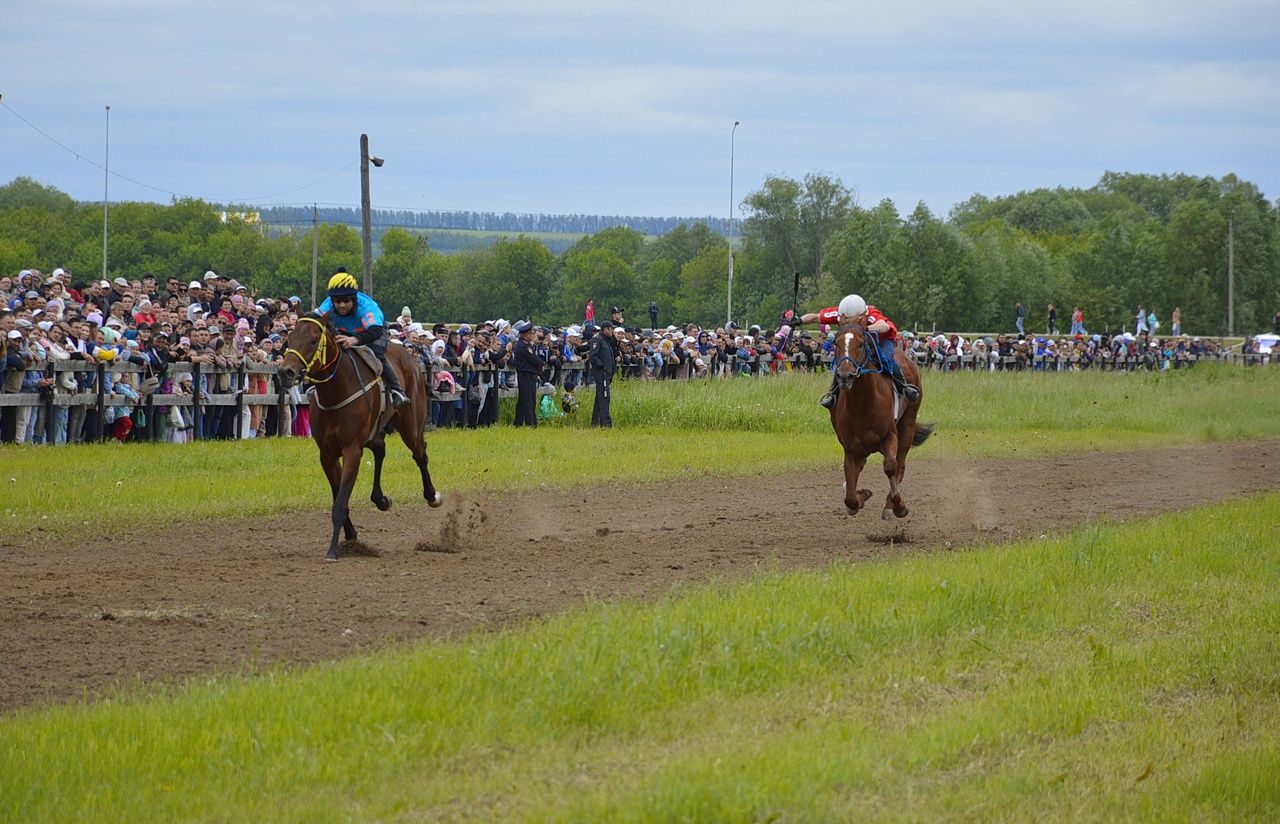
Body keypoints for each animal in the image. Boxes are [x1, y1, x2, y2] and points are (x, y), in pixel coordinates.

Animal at [277, 316, 442, 560]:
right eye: (290, 337)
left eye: (314, 339)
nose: (286, 372)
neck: (336, 390)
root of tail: (409, 356)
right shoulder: (327, 454)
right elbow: (338, 495)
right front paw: (350, 534)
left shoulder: (352, 449)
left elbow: (340, 503)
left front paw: (333, 550)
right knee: (381, 448)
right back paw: (380, 499)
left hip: (411, 425)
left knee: (420, 454)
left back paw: (432, 496)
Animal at [824, 319, 936, 519]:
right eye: (836, 344)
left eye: (861, 344)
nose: (845, 375)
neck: (862, 405)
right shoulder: (850, 446)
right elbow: (850, 491)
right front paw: (861, 496)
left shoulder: (889, 436)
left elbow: (891, 467)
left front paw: (896, 506)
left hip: (908, 423)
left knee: (900, 464)